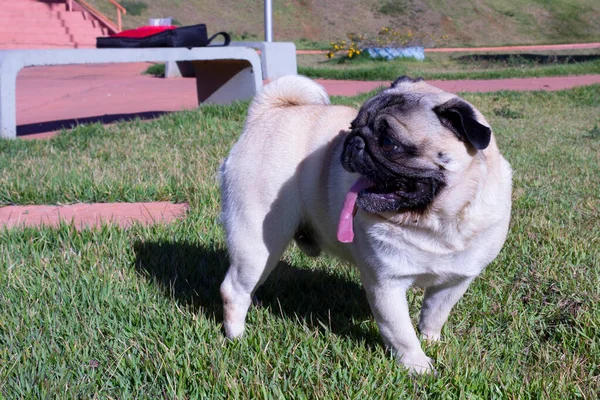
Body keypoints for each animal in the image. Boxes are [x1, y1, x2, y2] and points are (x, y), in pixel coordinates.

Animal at [220, 76, 510, 376]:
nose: (353, 142)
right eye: (352, 126)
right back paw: (237, 336)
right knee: (233, 289)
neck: (434, 223)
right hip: (256, 242)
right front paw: (418, 366)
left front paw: (432, 341)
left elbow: (435, 314)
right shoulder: (386, 284)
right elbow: (401, 332)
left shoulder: (455, 282)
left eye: (389, 143)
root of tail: (266, 114)